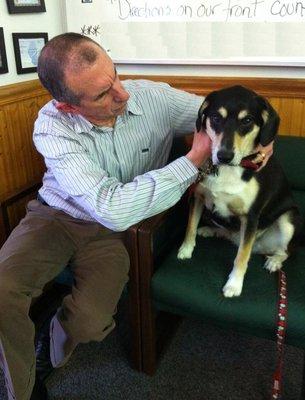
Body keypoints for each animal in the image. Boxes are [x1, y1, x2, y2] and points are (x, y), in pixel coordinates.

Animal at [177, 84, 300, 296]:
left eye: (247, 120)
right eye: (216, 117)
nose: (224, 156)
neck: (229, 170)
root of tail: (261, 246)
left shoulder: (250, 217)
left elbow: (242, 256)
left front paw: (234, 284)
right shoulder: (197, 197)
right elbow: (190, 227)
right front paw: (186, 250)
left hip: (288, 221)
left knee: (285, 250)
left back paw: (275, 261)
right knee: (228, 234)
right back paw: (211, 230)